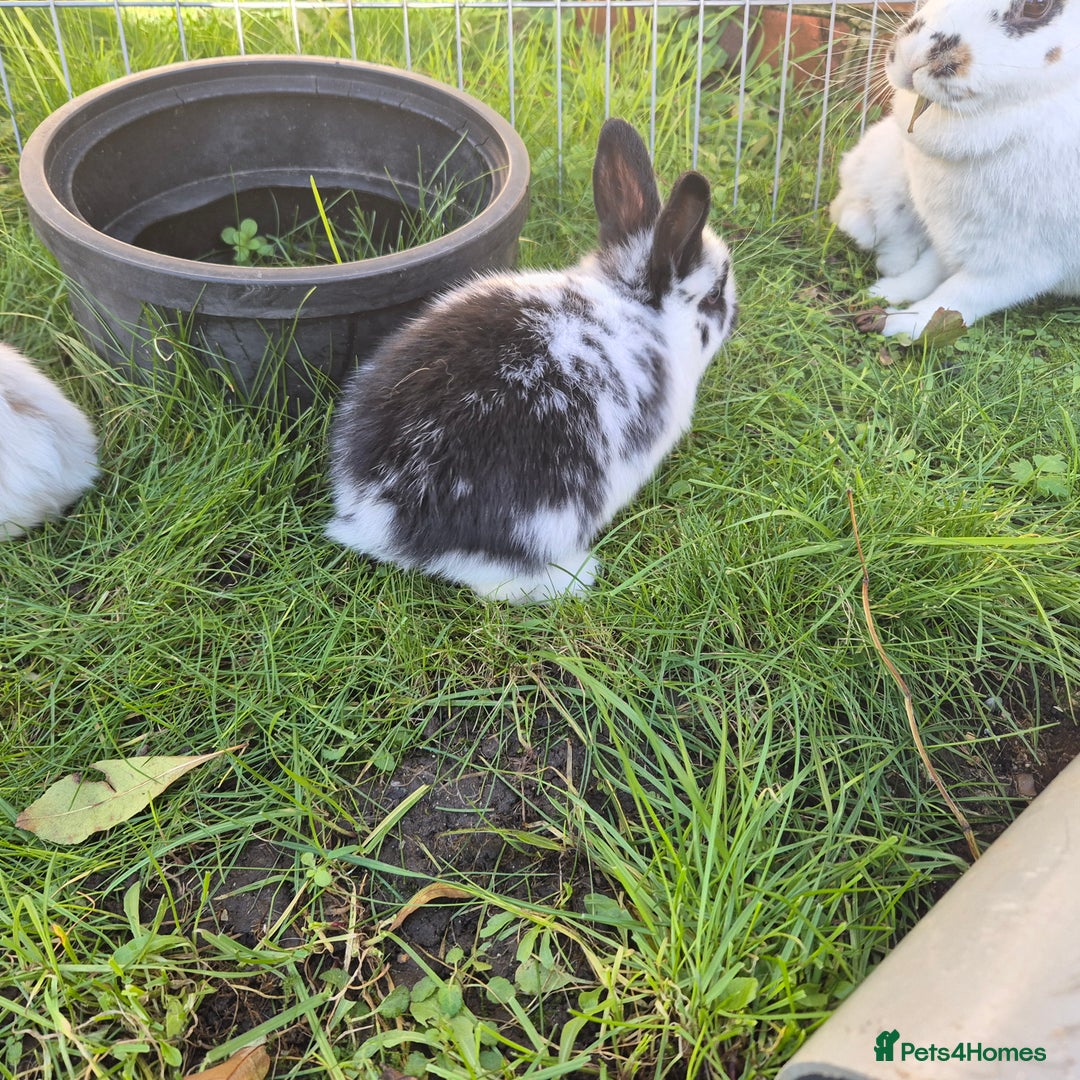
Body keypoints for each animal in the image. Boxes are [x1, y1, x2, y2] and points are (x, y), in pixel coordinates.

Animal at [830, 0, 1080, 339]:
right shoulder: (954, 235)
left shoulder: (1025, 263)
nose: (914, 55)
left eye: (1036, 6)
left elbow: (958, 296)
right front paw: (886, 290)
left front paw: (900, 322)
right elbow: (931, 269)